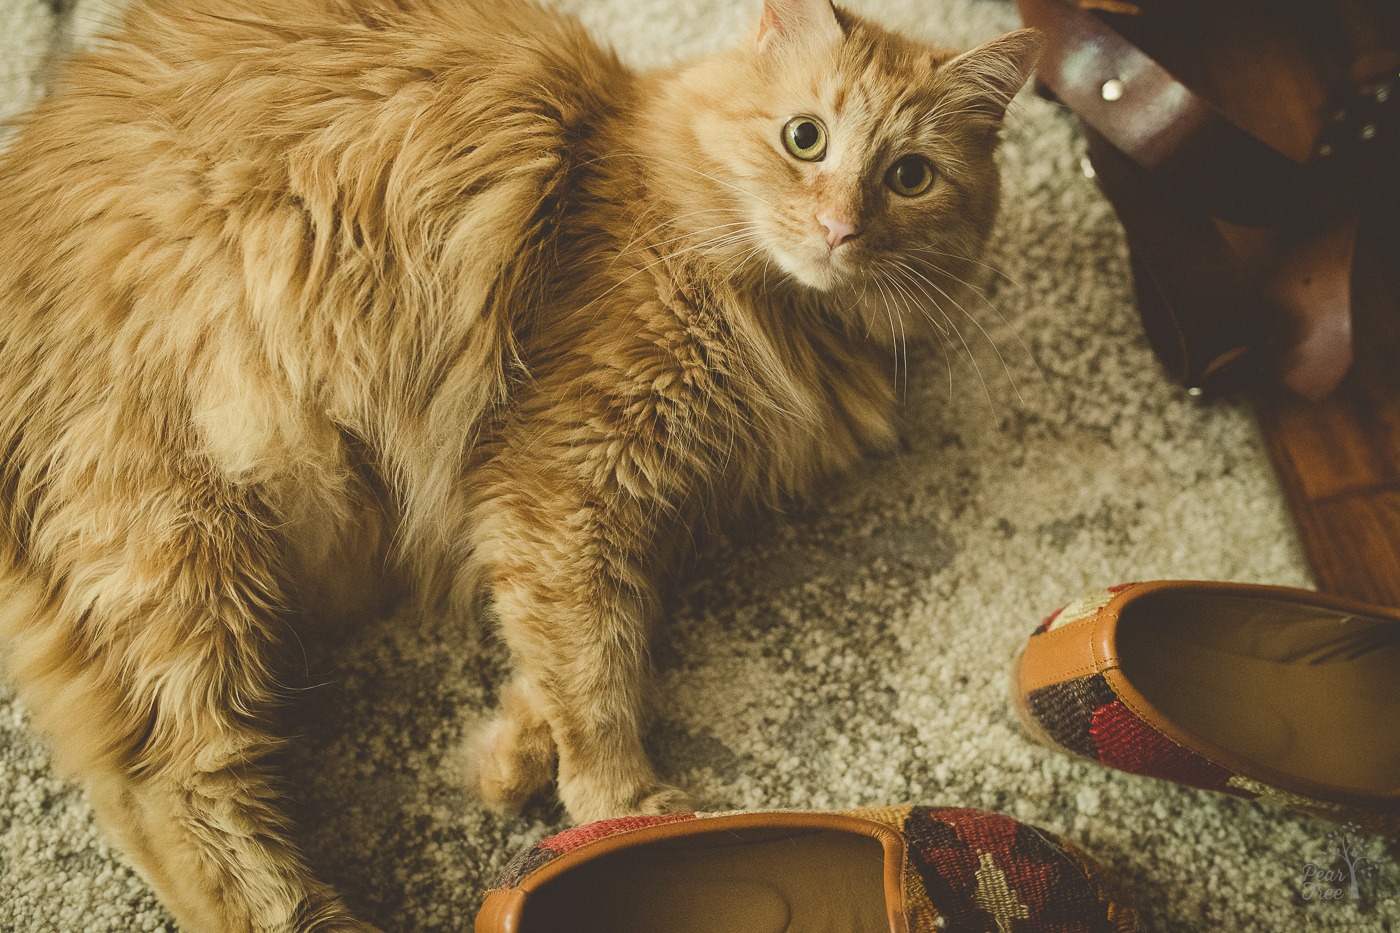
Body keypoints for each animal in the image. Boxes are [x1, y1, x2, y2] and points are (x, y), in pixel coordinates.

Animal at [0, 0, 1041, 924]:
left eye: (909, 176)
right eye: (805, 138)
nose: (840, 229)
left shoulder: (631, 510)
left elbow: (577, 638)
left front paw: (509, 758)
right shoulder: (565, 473)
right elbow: (595, 663)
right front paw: (621, 811)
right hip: (176, 544)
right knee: (169, 790)